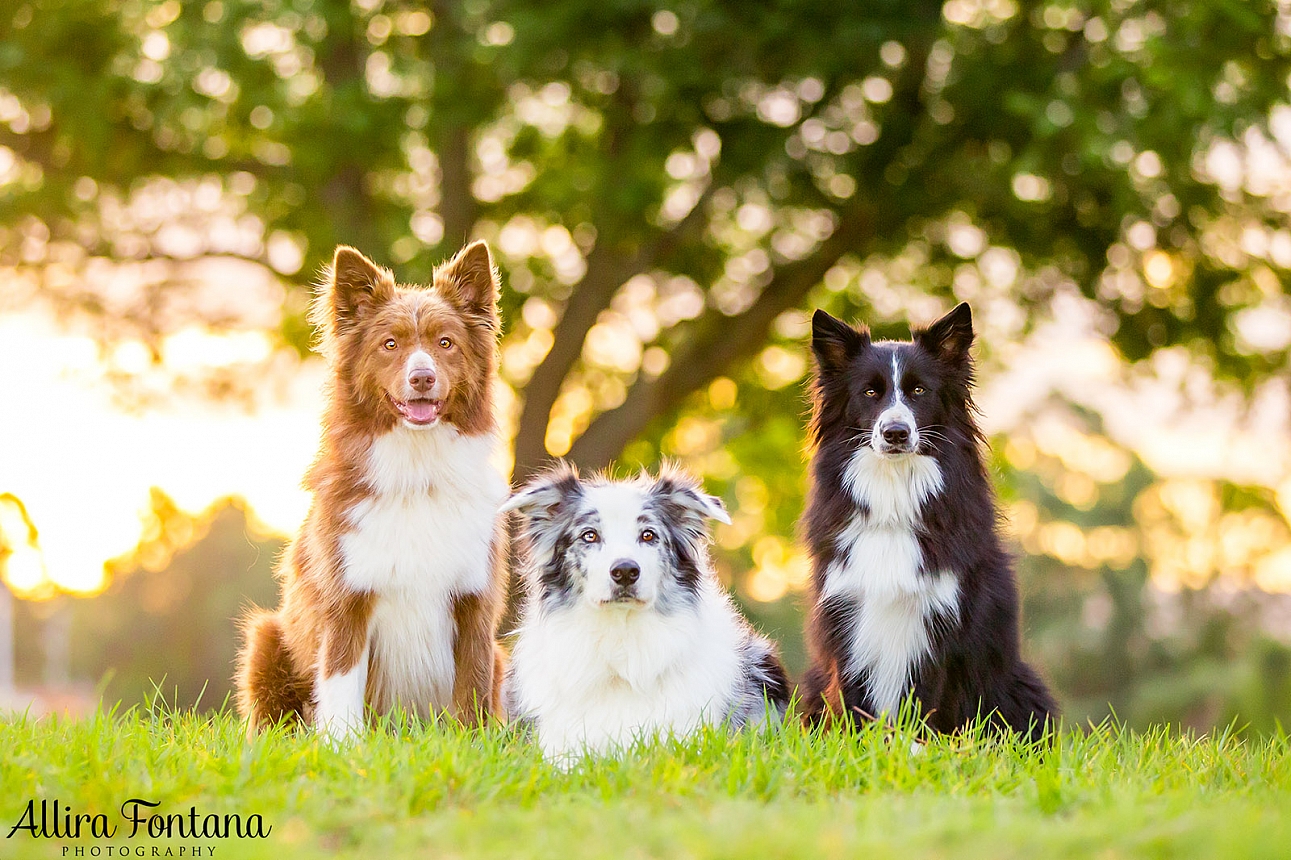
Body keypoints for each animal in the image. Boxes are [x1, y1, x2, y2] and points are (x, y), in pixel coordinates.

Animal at [237, 238, 508, 738]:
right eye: (390, 344)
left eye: (445, 343)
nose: (422, 377)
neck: (418, 472)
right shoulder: (347, 599)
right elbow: (340, 686)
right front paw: (343, 747)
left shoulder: (475, 602)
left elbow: (473, 692)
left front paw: (475, 744)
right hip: (266, 637)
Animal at [800, 300, 1053, 738]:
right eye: (870, 392)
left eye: (919, 390)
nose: (896, 433)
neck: (894, 494)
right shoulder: (846, 614)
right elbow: (852, 700)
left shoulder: (940, 624)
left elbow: (925, 700)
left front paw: (914, 746)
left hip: (1017, 683)